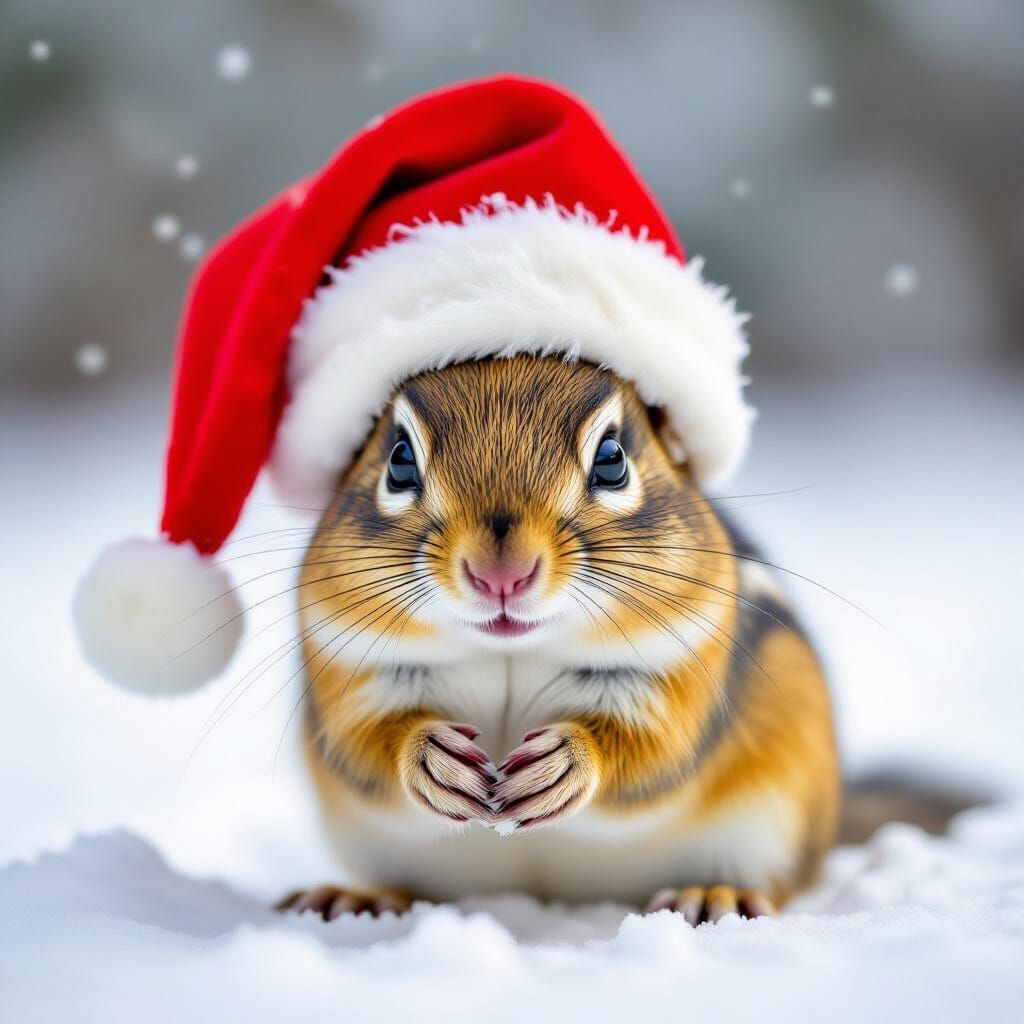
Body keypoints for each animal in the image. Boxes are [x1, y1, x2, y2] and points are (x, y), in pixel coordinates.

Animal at [275, 354, 841, 926]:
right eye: (398, 461)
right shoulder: (349, 663)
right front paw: (431, 758)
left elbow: (652, 750)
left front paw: (567, 761)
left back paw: (713, 895)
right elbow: (364, 743)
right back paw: (357, 898)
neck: (510, 647)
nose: (501, 575)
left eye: (613, 460)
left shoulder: (679, 670)